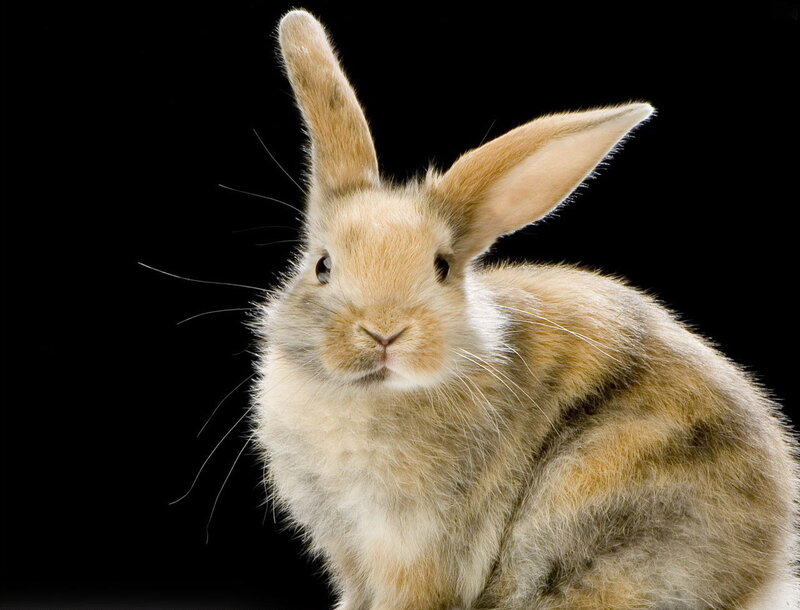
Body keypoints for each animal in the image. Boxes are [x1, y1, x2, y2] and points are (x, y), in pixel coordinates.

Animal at [252, 9, 799, 610]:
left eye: (442, 267)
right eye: (322, 265)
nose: (385, 332)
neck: (370, 395)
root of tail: (762, 574)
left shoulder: (414, 552)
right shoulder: (351, 552)